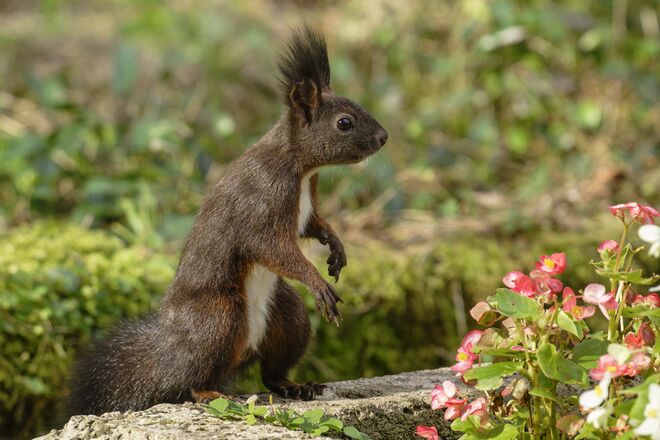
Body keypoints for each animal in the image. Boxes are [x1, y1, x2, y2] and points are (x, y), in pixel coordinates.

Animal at [69, 25, 388, 415]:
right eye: (344, 123)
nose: (384, 137)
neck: (300, 167)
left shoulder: (307, 207)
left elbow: (315, 225)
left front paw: (337, 248)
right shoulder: (262, 202)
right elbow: (272, 247)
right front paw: (317, 282)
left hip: (289, 318)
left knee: (271, 372)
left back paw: (296, 386)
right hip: (219, 317)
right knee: (194, 381)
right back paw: (212, 393)